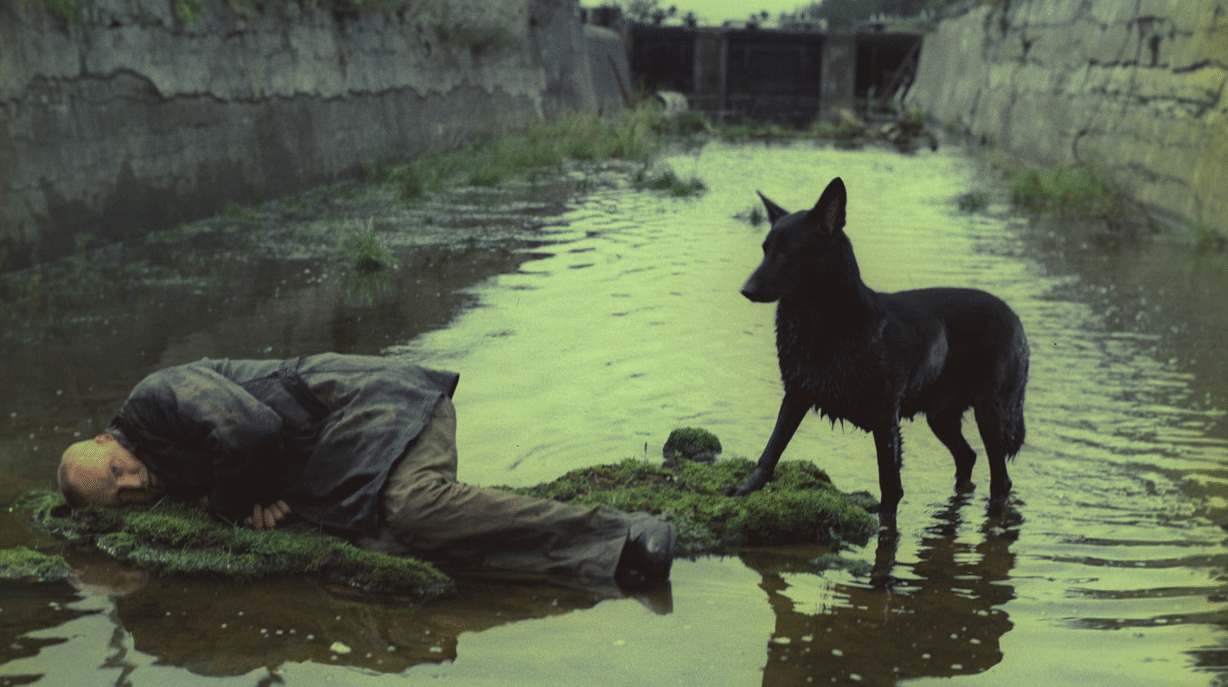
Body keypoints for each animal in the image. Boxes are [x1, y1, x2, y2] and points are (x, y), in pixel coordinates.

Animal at [726, 178, 1026, 526]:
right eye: (765, 250)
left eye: (787, 251)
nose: (745, 290)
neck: (823, 322)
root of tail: (1014, 317)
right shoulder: (796, 395)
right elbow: (771, 450)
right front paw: (746, 489)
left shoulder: (885, 420)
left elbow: (889, 487)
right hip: (941, 417)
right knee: (968, 457)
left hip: (990, 412)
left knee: (1000, 479)